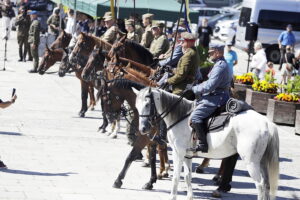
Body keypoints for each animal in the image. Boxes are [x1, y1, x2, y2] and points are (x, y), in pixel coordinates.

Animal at [133, 87, 278, 200]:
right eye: (137, 106)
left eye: (147, 104)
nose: (143, 129)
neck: (180, 116)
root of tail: (267, 123)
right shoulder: (187, 155)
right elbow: (188, 176)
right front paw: (189, 197)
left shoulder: (178, 152)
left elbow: (176, 177)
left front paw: (172, 196)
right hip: (261, 162)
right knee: (266, 184)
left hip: (251, 162)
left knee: (260, 185)